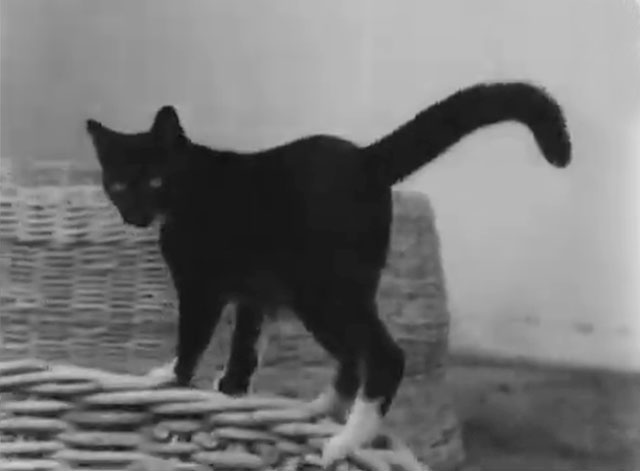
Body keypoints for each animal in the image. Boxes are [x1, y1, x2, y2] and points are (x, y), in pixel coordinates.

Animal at [85, 82, 568, 464]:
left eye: (155, 181)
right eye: (118, 184)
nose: (134, 214)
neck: (190, 181)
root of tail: (367, 158)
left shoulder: (201, 286)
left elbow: (192, 340)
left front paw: (171, 381)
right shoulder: (255, 295)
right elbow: (245, 349)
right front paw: (229, 394)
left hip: (322, 292)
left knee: (383, 356)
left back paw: (345, 439)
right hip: (340, 288)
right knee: (354, 357)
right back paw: (317, 411)